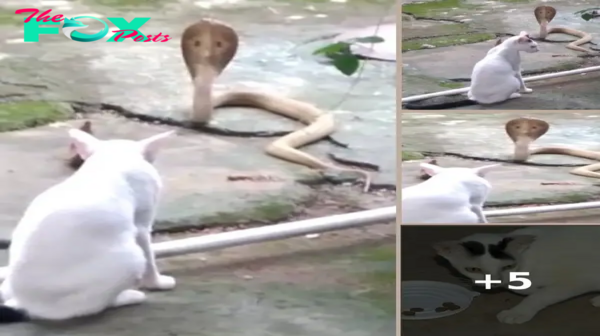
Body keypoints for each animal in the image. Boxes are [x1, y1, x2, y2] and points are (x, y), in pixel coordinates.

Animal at [0, 128, 177, 322]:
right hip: (132, 257)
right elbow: (150, 258)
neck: (109, 161)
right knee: (95, 305)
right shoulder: (142, 225)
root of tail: (21, 301)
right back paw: (130, 296)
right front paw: (157, 283)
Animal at [434, 227, 600, 324]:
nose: (494, 282)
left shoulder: (582, 278)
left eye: (508, 266)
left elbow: (542, 294)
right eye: (474, 269)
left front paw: (518, 312)